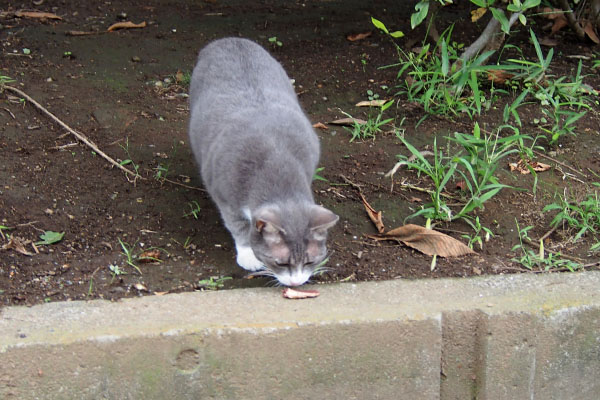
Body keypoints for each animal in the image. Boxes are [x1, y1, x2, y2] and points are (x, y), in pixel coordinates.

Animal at [188, 37, 338, 286]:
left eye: (310, 261)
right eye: (281, 263)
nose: (296, 283)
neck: (277, 165)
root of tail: (229, 40)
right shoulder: (224, 195)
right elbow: (238, 225)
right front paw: (247, 254)